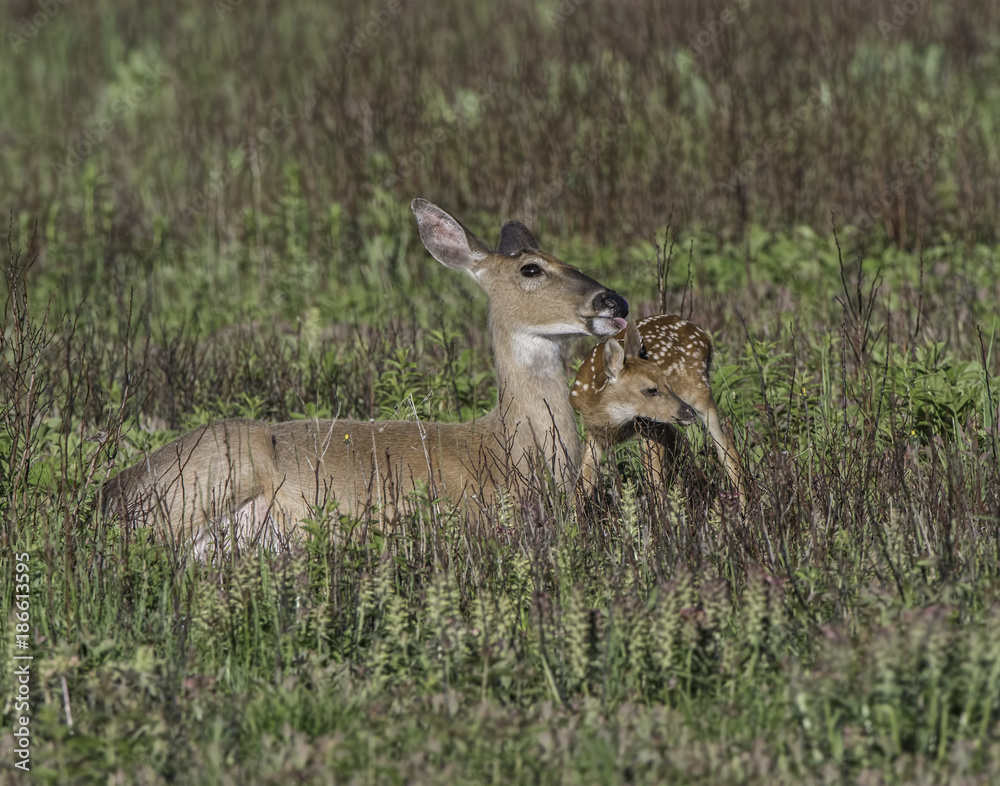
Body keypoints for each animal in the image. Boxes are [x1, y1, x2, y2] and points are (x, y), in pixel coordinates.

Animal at [571, 314, 745, 506]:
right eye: (651, 390)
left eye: (667, 383)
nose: (688, 412)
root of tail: (703, 335)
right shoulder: (596, 432)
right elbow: (583, 481)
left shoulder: (652, 426)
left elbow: (655, 477)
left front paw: (662, 513)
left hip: (699, 390)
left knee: (726, 448)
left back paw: (743, 507)